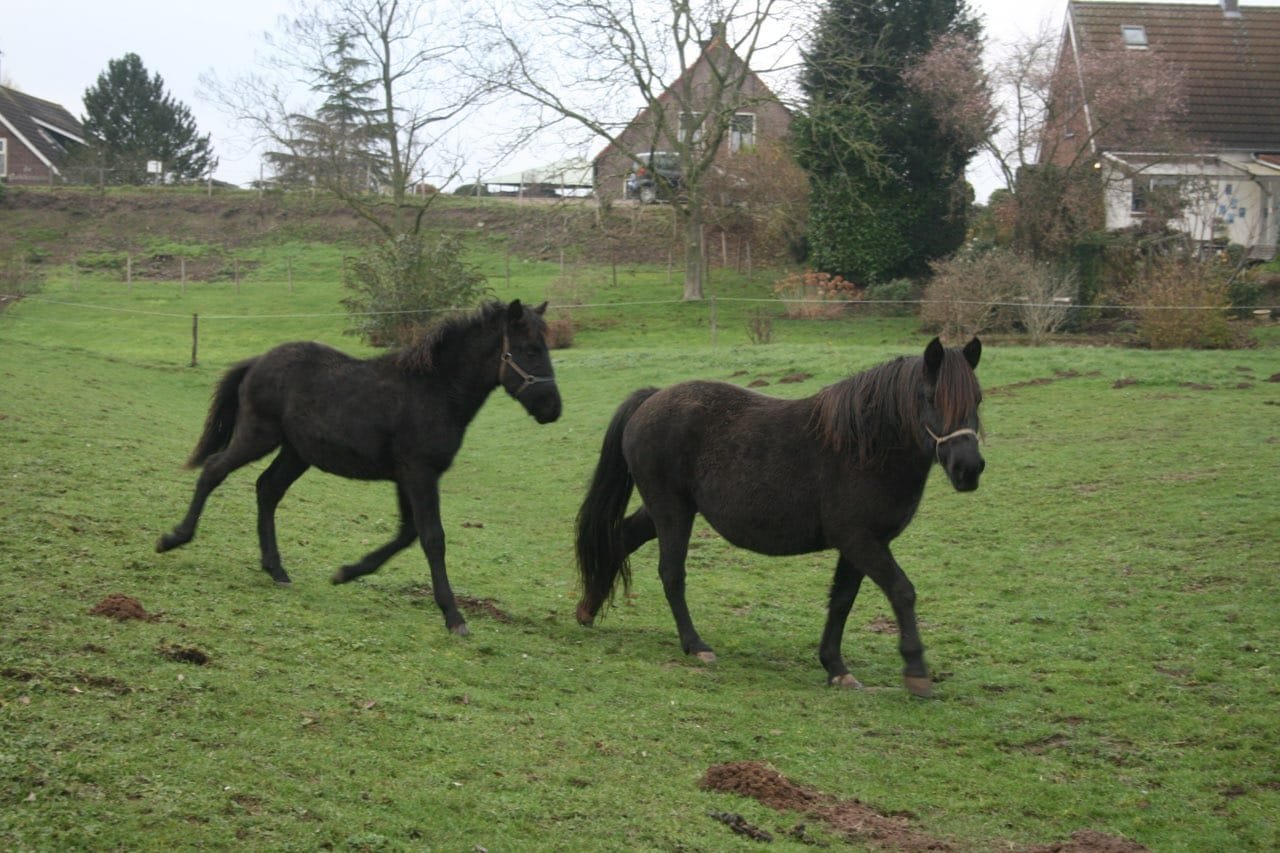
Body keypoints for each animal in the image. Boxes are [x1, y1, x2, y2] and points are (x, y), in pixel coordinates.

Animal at [157, 299, 561, 636]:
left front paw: (346, 573)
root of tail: (257, 361)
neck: (435, 390)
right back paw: (173, 538)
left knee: (267, 489)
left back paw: (276, 569)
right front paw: (454, 617)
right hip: (258, 436)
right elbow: (432, 538)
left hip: (296, 452)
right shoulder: (419, 472)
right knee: (214, 470)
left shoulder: (406, 476)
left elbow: (407, 533)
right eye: (530, 349)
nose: (553, 408)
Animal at [574, 337, 983, 696]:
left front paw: (835, 667)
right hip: (672, 510)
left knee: (619, 539)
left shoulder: (859, 546)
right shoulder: (861, 541)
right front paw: (916, 672)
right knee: (672, 574)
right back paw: (695, 644)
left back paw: (589, 607)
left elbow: (841, 601)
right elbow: (902, 591)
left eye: (977, 398)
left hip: (667, 508)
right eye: (930, 397)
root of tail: (652, 398)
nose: (969, 468)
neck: (864, 448)